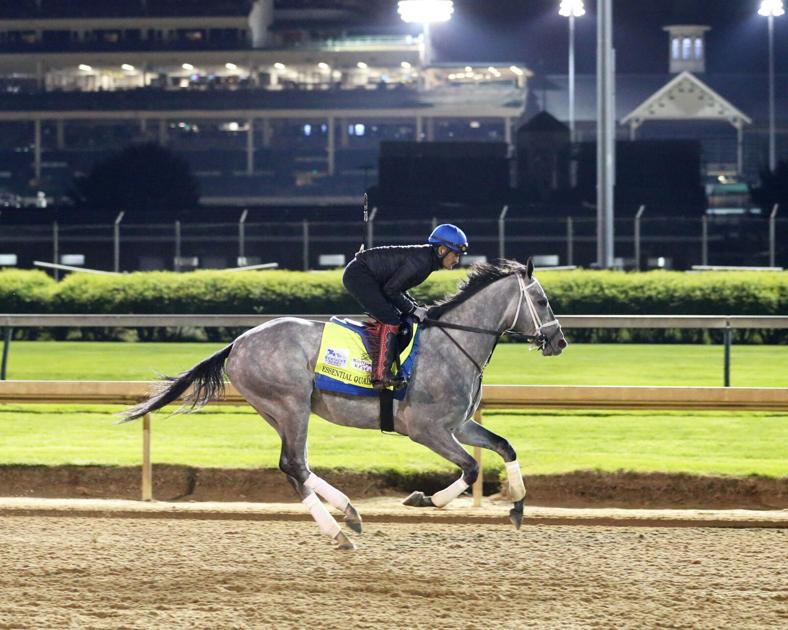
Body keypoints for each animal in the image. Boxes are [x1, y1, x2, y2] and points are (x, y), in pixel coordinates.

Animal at [122, 258, 567, 549]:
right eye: (542, 301)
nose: (559, 341)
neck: (453, 342)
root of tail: (237, 343)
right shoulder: (426, 429)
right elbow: (472, 468)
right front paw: (424, 499)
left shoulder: (458, 424)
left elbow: (504, 447)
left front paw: (518, 505)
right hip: (290, 405)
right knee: (294, 465)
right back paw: (339, 527)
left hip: (277, 411)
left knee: (295, 468)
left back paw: (348, 517)